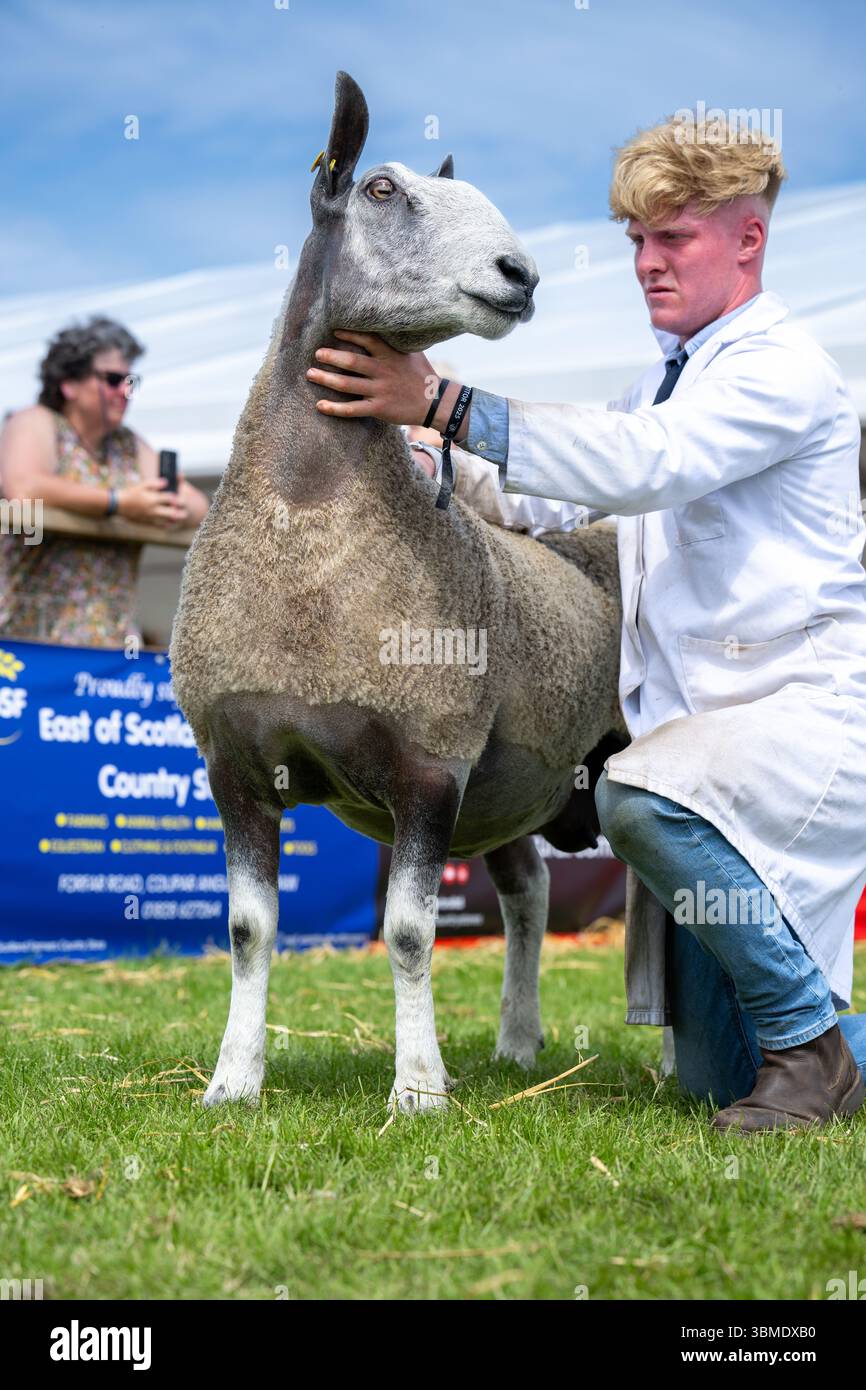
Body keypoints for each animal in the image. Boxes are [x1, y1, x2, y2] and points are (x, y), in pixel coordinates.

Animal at [169, 71, 626, 1114]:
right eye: (380, 188)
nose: (519, 273)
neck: (311, 546)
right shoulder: (235, 762)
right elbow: (248, 930)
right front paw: (233, 1084)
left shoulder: (430, 759)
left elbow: (412, 932)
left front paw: (417, 1091)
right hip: (512, 786)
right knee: (530, 892)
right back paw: (518, 1042)